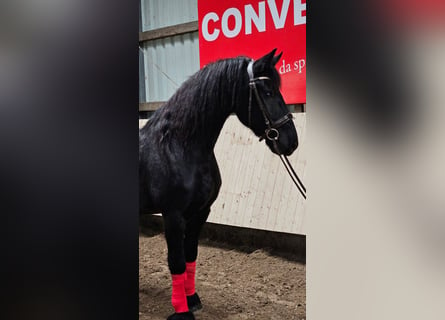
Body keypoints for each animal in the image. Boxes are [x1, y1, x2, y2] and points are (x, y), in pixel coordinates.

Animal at [139, 48, 298, 318]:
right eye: (267, 92)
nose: (291, 141)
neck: (178, 147)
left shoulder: (201, 212)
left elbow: (191, 256)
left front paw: (192, 299)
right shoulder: (173, 215)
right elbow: (176, 261)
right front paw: (182, 311)